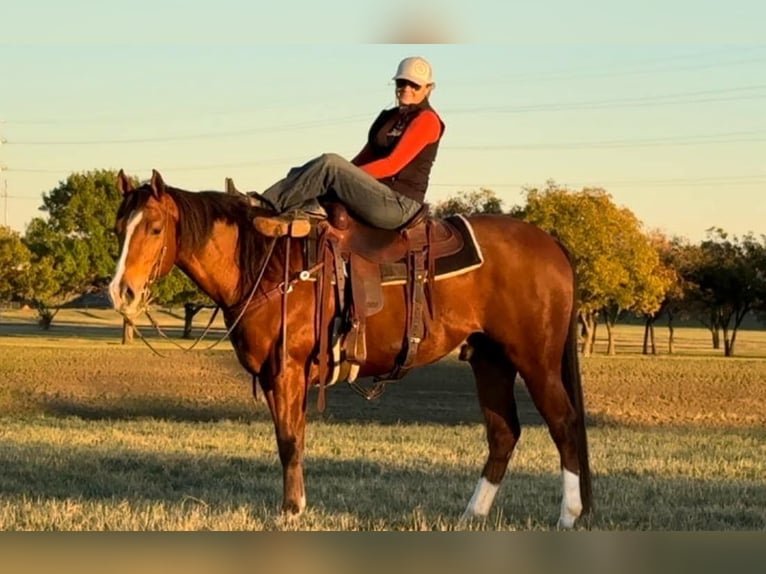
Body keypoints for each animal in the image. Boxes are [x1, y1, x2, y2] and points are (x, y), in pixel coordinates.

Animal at [109, 169, 592, 528]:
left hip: (536, 360)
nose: (121, 292)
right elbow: (293, 437)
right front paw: (296, 505)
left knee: (563, 423)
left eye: (154, 227)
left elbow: (288, 440)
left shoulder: (287, 370)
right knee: (503, 432)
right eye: (117, 229)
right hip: (490, 360)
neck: (268, 263)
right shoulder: (277, 377)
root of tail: (551, 242)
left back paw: (569, 514)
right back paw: (472, 514)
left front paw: (290, 511)